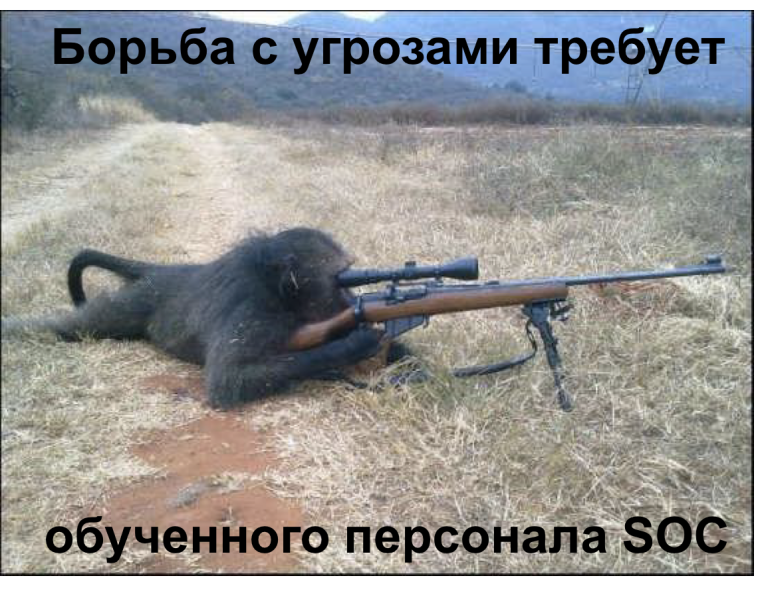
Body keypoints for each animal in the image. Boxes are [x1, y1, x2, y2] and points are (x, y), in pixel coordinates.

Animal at [2, 227, 418, 409]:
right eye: (342, 277)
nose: (354, 299)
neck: (278, 292)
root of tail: (165, 272)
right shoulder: (253, 313)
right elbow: (227, 381)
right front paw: (355, 344)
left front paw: (409, 361)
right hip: (135, 302)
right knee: (72, 326)